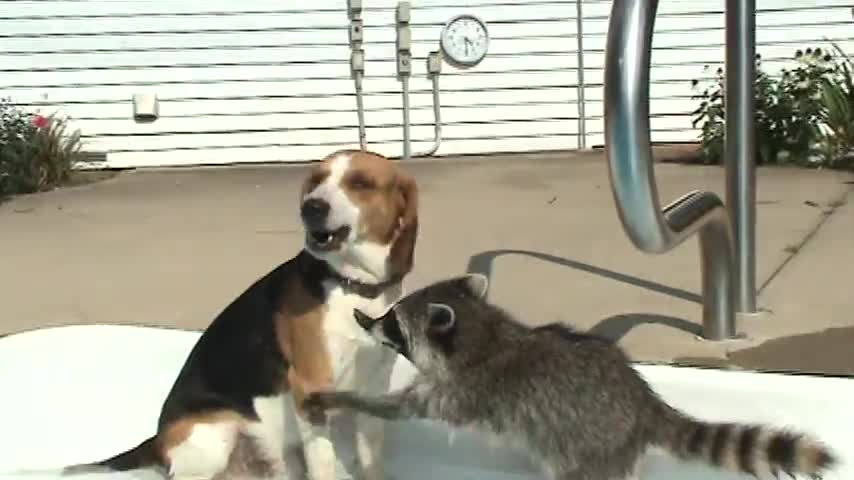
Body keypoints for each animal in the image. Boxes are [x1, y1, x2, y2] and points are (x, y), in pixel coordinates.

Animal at [65, 150, 420, 480]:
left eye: (360, 183)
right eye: (316, 181)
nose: (311, 207)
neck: (353, 287)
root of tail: (155, 441)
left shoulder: (372, 390)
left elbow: (370, 456)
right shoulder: (311, 391)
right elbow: (324, 465)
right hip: (214, 438)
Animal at [302, 274, 836, 480]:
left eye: (393, 322)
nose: (366, 320)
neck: (485, 331)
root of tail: (645, 404)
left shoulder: (462, 391)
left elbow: (399, 408)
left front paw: (337, 398)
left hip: (593, 454)